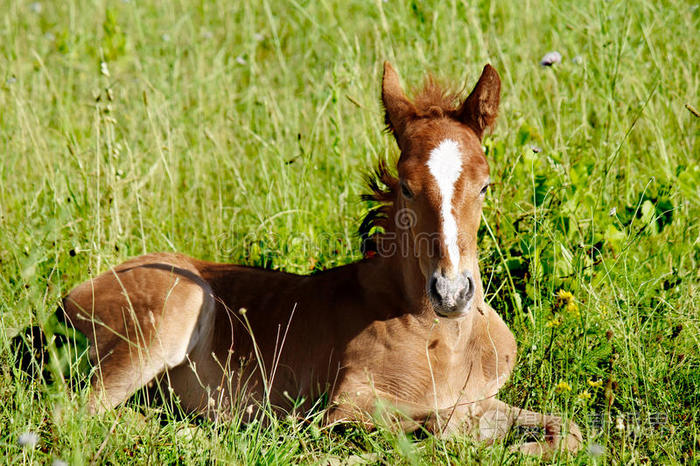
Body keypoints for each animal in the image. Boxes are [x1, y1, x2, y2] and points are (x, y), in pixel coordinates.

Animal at [64, 61, 580, 456]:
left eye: (485, 185)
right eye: (407, 187)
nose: (452, 293)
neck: (447, 340)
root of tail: (71, 296)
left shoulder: (483, 398)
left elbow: (565, 428)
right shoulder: (346, 405)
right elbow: (433, 429)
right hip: (172, 311)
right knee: (80, 413)